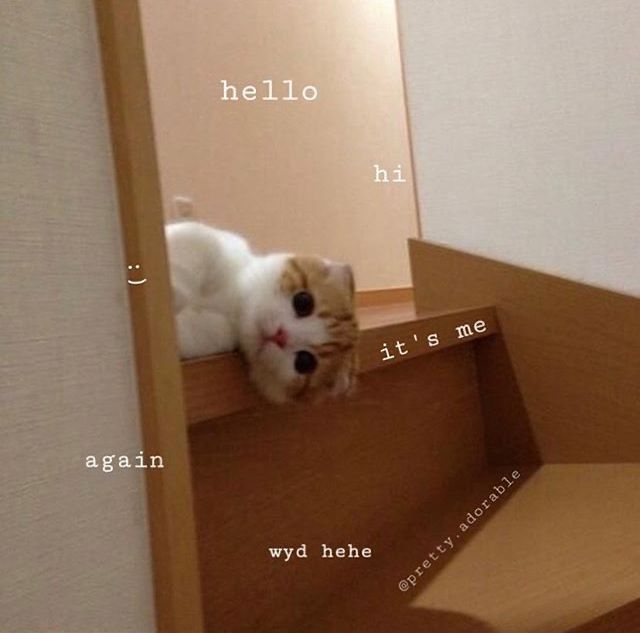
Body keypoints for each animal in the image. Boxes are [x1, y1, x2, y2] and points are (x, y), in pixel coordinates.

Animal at [164, 220, 360, 402]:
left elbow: (194, 335)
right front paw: (172, 293)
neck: (234, 303)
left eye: (305, 362)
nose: (280, 335)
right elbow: (192, 252)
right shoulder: (213, 243)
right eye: (304, 302)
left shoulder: (217, 334)